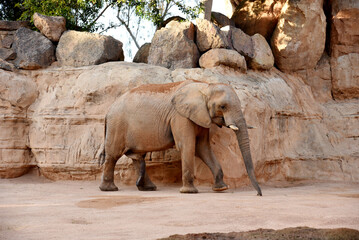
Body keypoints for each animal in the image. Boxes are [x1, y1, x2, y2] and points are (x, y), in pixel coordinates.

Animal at [98, 79, 262, 196]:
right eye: (223, 107)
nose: (259, 194)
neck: (205, 86)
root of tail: (108, 111)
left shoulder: (200, 116)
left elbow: (202, 147)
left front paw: (221, 189)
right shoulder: (180, 116)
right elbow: (188, 145)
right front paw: (189, 192)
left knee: (138, 157)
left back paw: (148, 188)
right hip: (117, 125)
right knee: (113, 155)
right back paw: (109, 189)